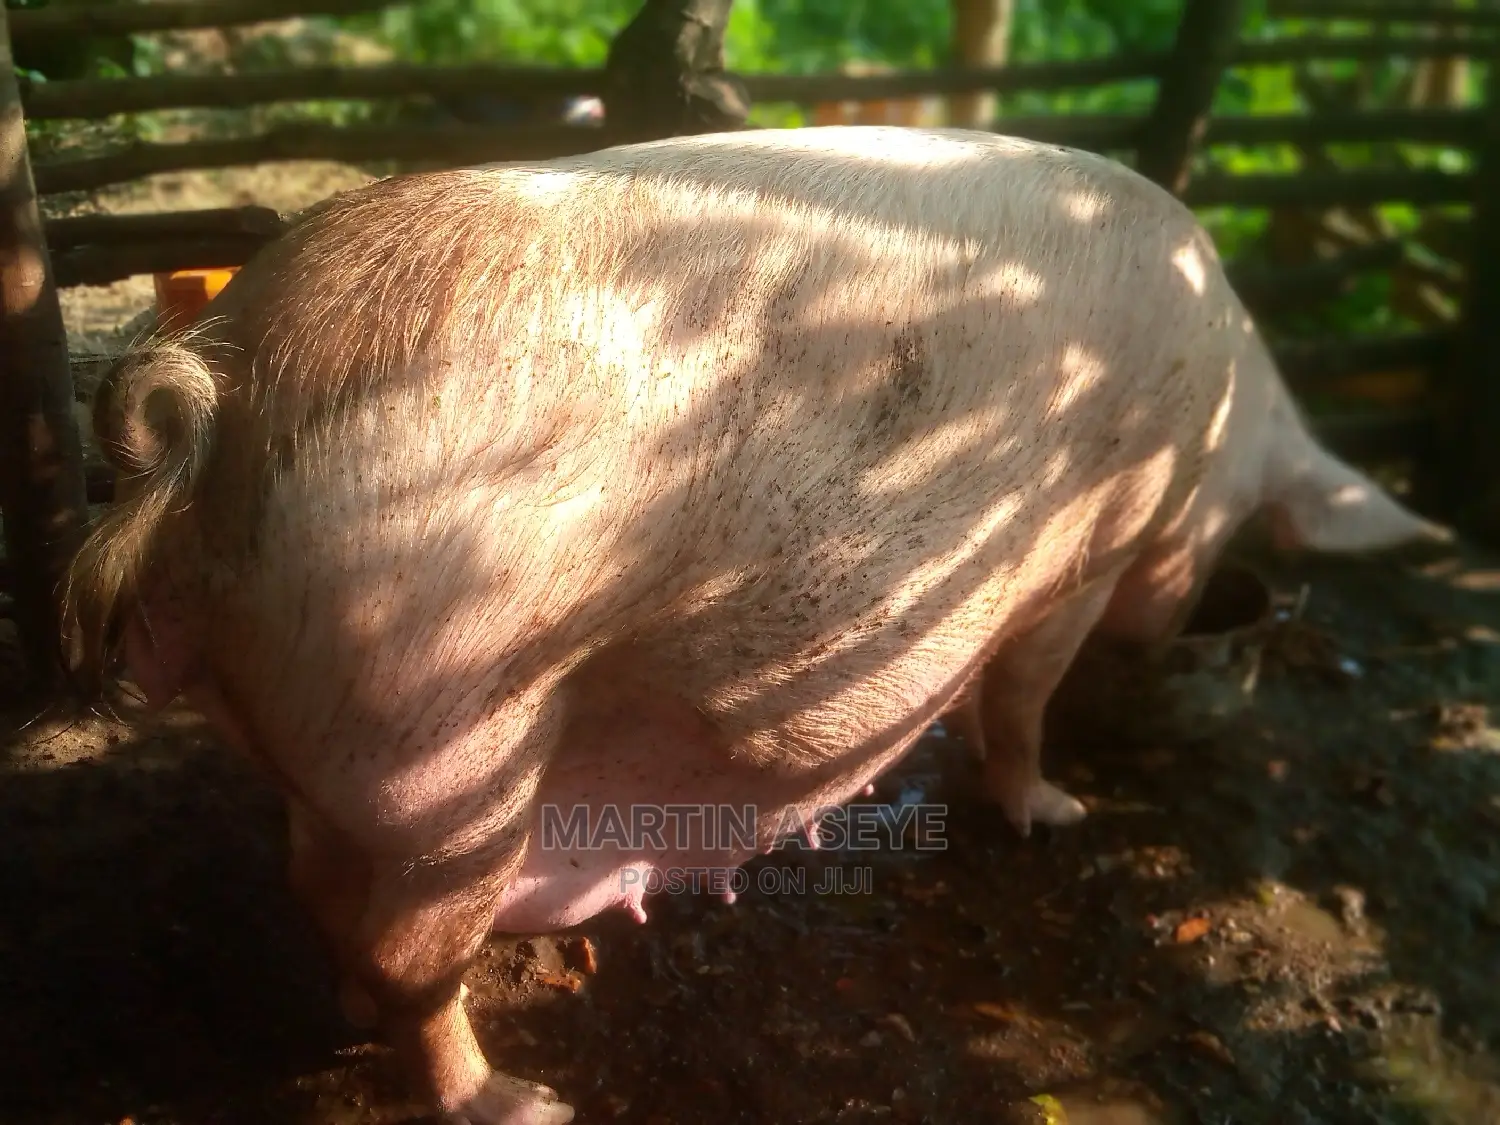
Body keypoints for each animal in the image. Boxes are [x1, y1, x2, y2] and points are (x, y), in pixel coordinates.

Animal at [61, 125, 1446, 1124]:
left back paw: (359, 1012)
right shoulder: (1083, 559)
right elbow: (1022, 696)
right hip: (451, 735)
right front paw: (1058, 814)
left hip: (344, 742)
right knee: (413, 952)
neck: (1221, 412)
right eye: (1241, 520)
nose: (1186, 616)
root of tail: (225, 403)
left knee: (319, 886)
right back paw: (522, 1102)